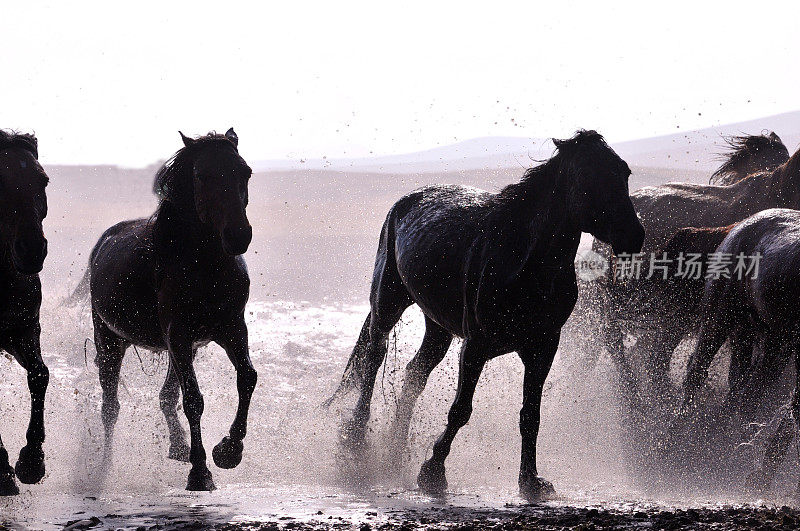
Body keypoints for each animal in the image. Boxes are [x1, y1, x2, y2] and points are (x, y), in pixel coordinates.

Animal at [74, 128, 255, 490]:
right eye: (202, 175)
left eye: (245, 172)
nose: (239, 236)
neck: (205, 268)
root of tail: (103, 242)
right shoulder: (179, 334)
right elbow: (194, 400)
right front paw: (200, 473)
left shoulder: (231, 329)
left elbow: (247, 378)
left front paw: (229, 451)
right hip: (110, 341)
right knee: (111, 408)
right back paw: (104, 470)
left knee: (165, 395)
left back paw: (178, 446)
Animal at [324, 131, 644, 500]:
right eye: (589, 176)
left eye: (624, 171)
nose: (635, 235)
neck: (524, 261)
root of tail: (405, 202)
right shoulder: (476, 346)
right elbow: (460, 410)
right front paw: (433, 473)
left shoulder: (543, 348)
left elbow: (530, 415)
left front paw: (531, 481)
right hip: (387, 302)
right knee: (374, 358)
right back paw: (356, 442)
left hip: (438, 327)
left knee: (414, 374)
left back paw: (393, 453)